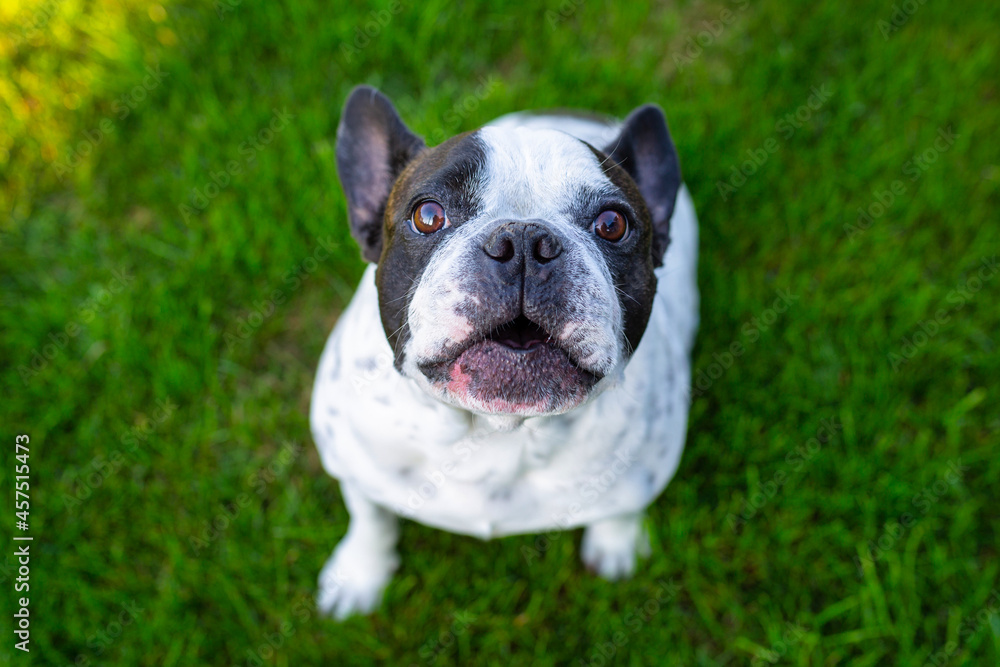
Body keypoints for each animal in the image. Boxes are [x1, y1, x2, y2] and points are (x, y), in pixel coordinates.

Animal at [308, 86, 700, 620]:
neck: (497, 431)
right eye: (427, 216)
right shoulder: (353, 462)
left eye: (613, 224)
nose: (524, 241)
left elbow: (623, 509)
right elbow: (369, 516)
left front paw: (616, 546)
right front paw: (359, 573)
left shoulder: (645, 469)